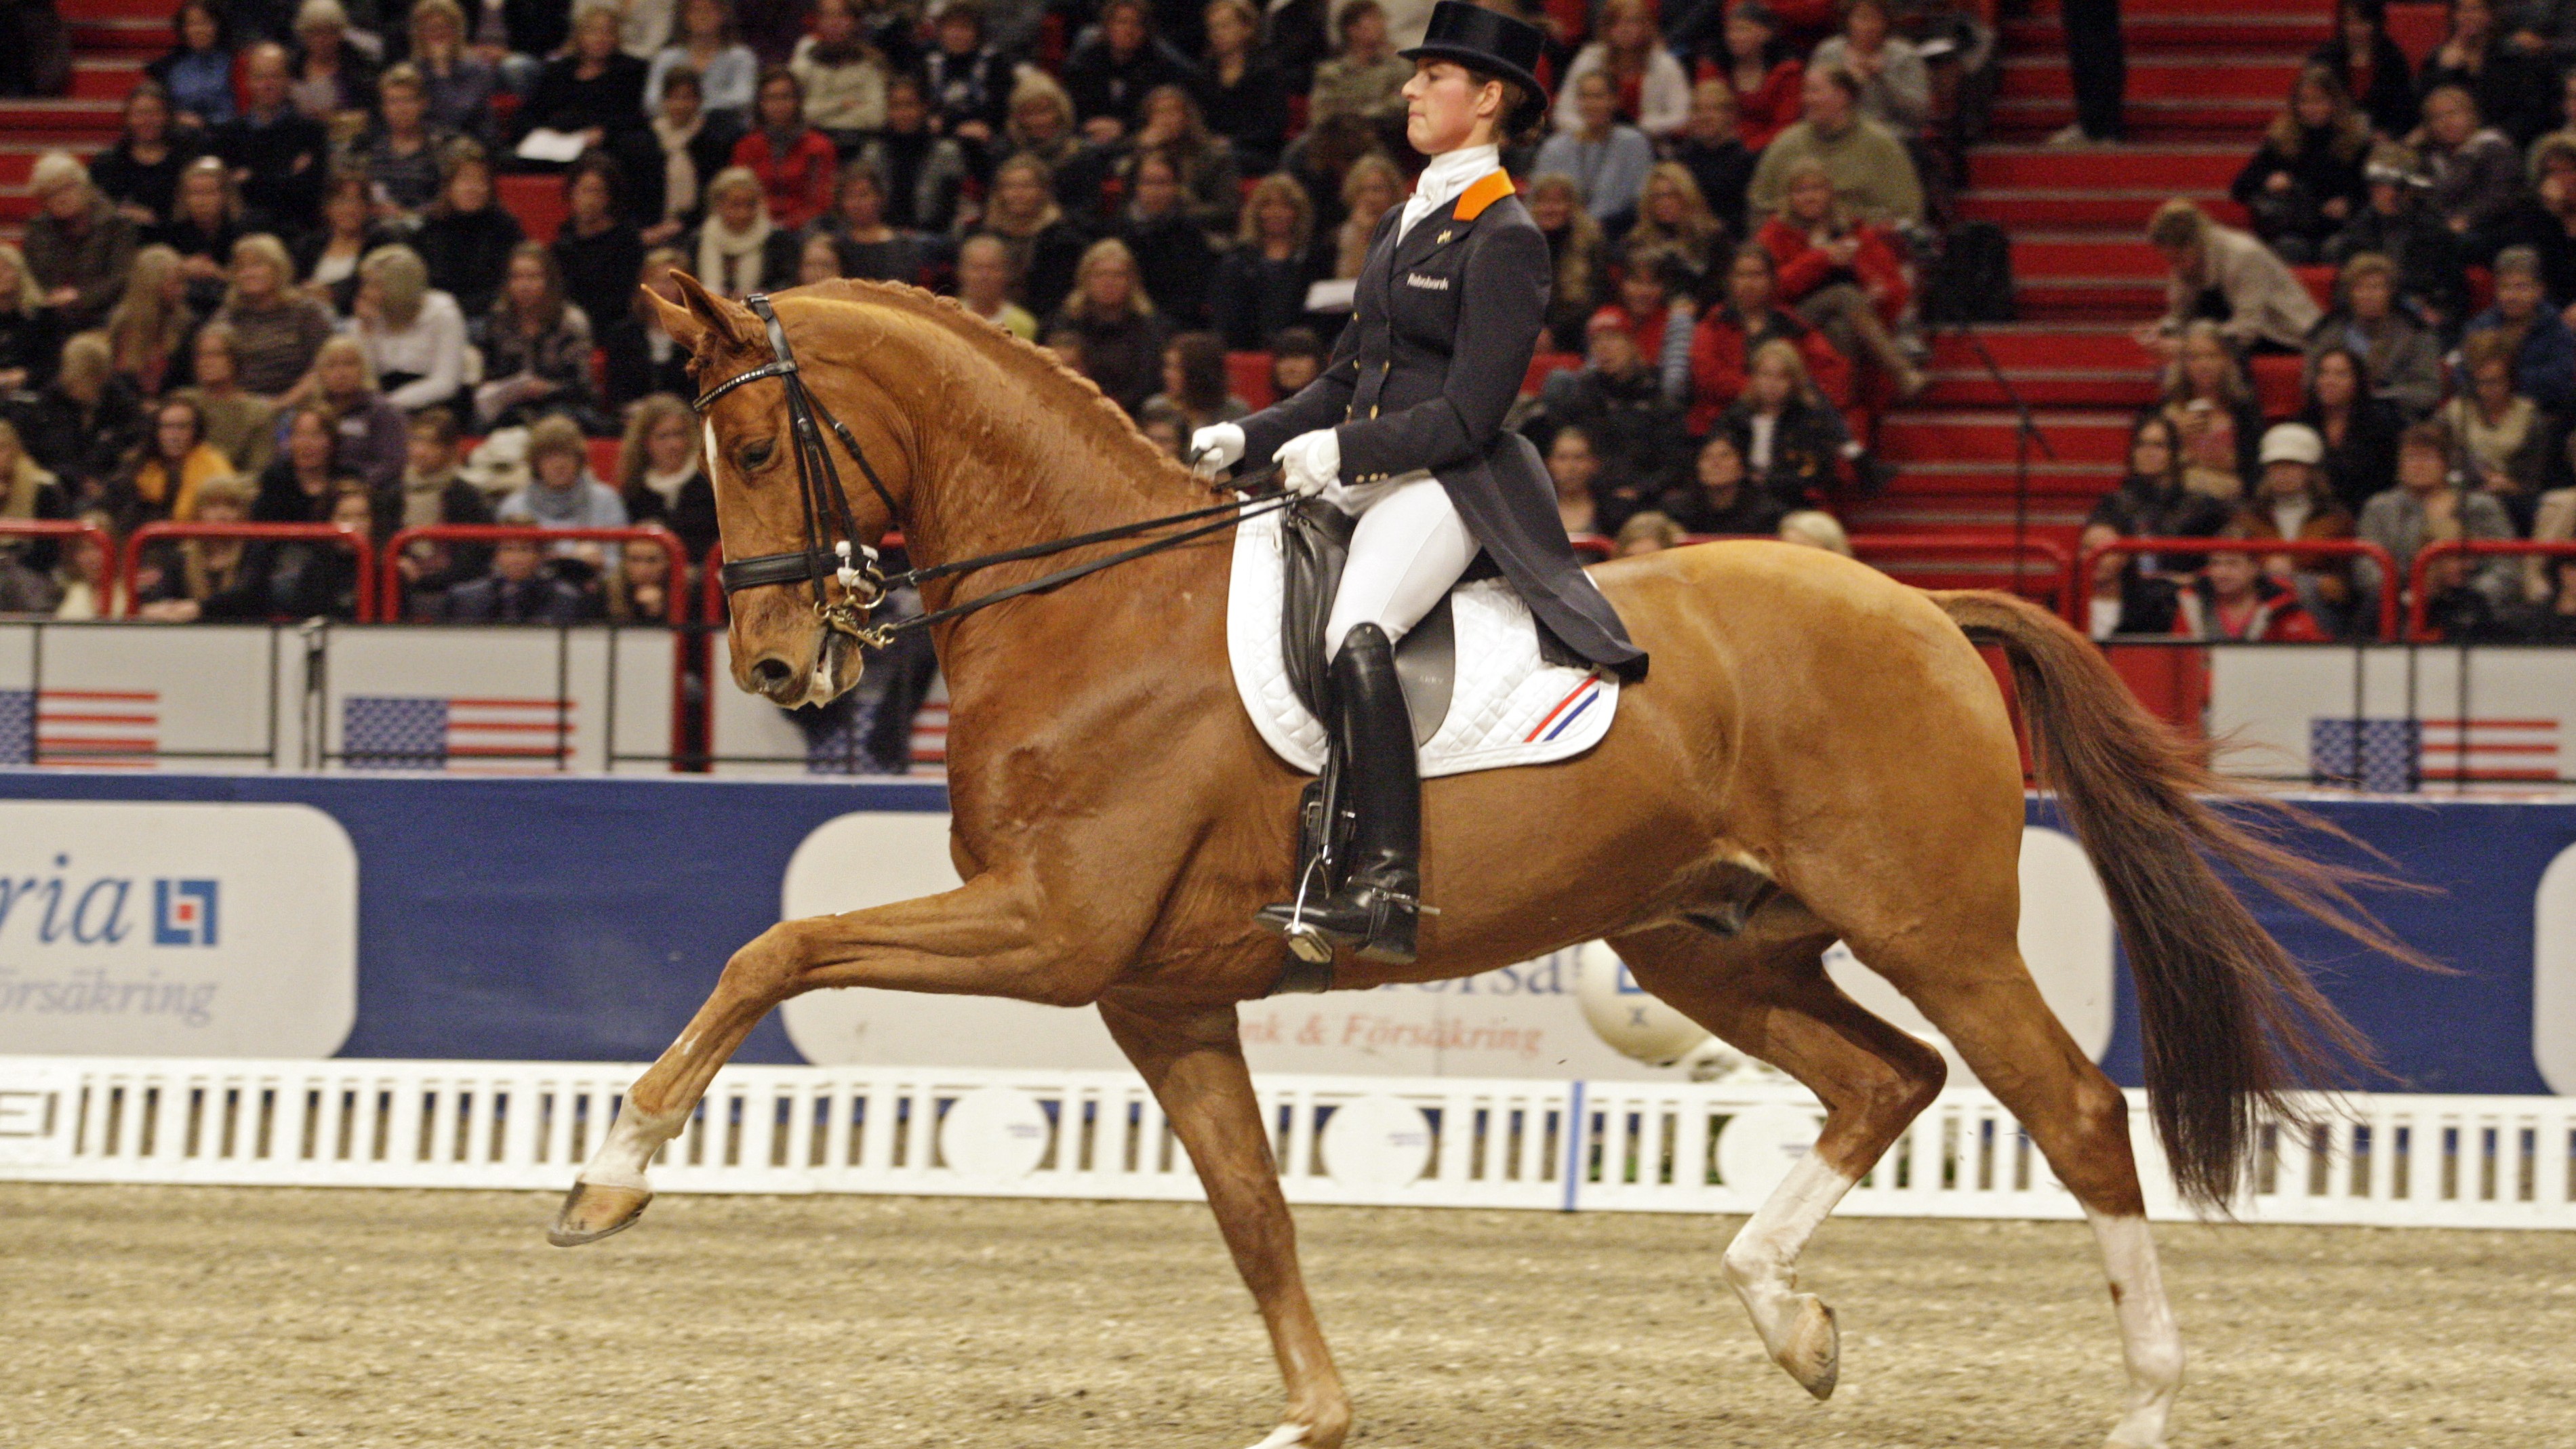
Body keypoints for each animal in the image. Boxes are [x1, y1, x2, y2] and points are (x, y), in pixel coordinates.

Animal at [554, 278, 2400, 1441]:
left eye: (743, 448)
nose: (777, 666)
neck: (1098, 604)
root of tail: (1917, 601)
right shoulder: (1156, 995)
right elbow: (1253, 1212)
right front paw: (1313, 1417)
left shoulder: (1052, 929)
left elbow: (774, 951)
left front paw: (611, 1174)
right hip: (1705, 939)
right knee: (1888, 1079)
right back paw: (1785, 1319)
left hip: (1927, 922)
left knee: (2068, 1109)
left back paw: (2138, 1401)